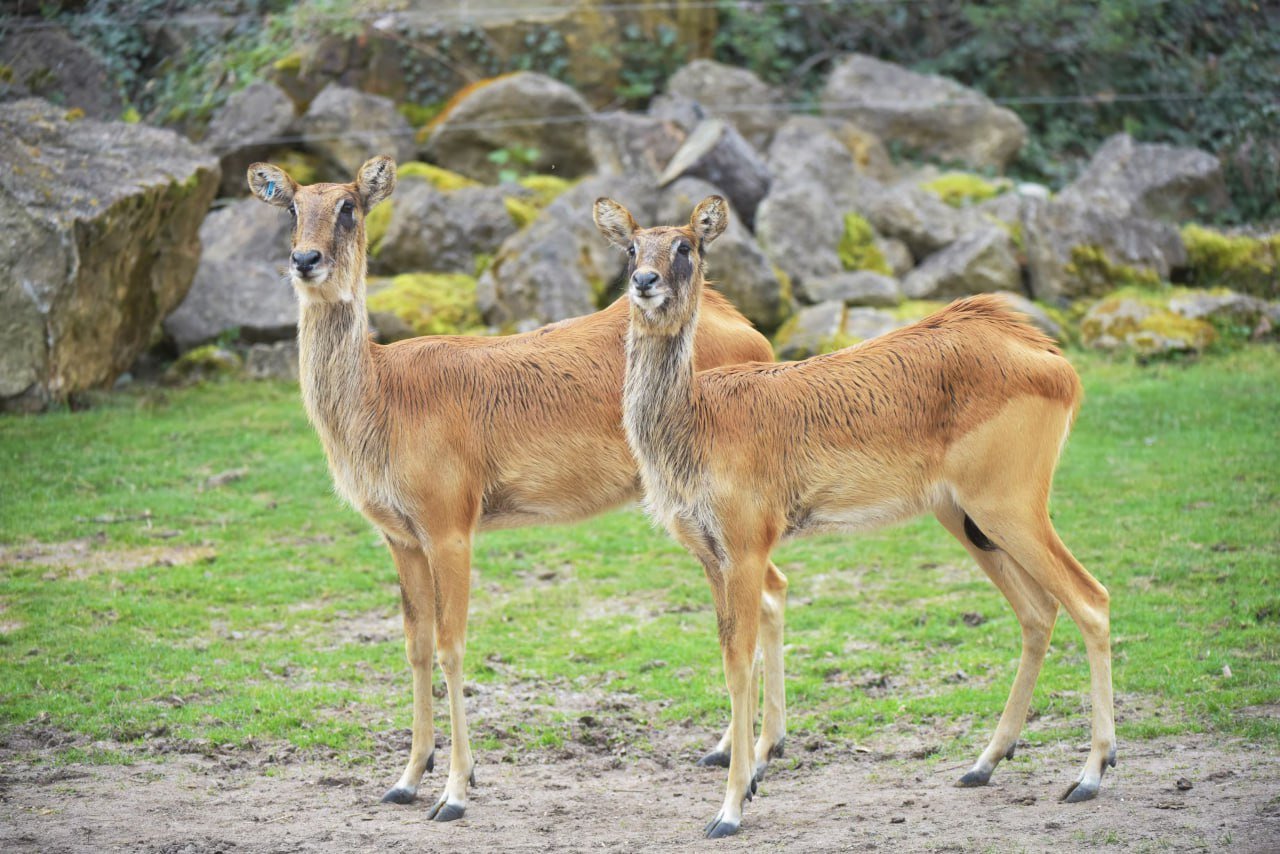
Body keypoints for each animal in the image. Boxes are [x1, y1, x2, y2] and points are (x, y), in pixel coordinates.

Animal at [244, 158, 773, 819]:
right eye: (292, 207)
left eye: (349, 207)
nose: (305, 259)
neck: (383, 399)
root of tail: (752, 331)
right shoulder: (398, 535)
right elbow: (415, 645)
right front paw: (405, 779)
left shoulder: (450, 523)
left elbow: (452, 645)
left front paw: (454, 792)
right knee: (773, 595)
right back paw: (741, 757)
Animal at [593, 195, 1116, 839]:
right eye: (631, 247)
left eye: (686, 246)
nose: (645, 282)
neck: (698, 421)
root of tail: (1052, 360)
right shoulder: (710, 555)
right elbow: (732, 655)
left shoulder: (746, 547)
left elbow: (738, 660)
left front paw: (731, 807)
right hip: (967, 518)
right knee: (1039, 612)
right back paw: (983, 763)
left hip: (1010, 507)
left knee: (1090, 599)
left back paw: (1090, 775)